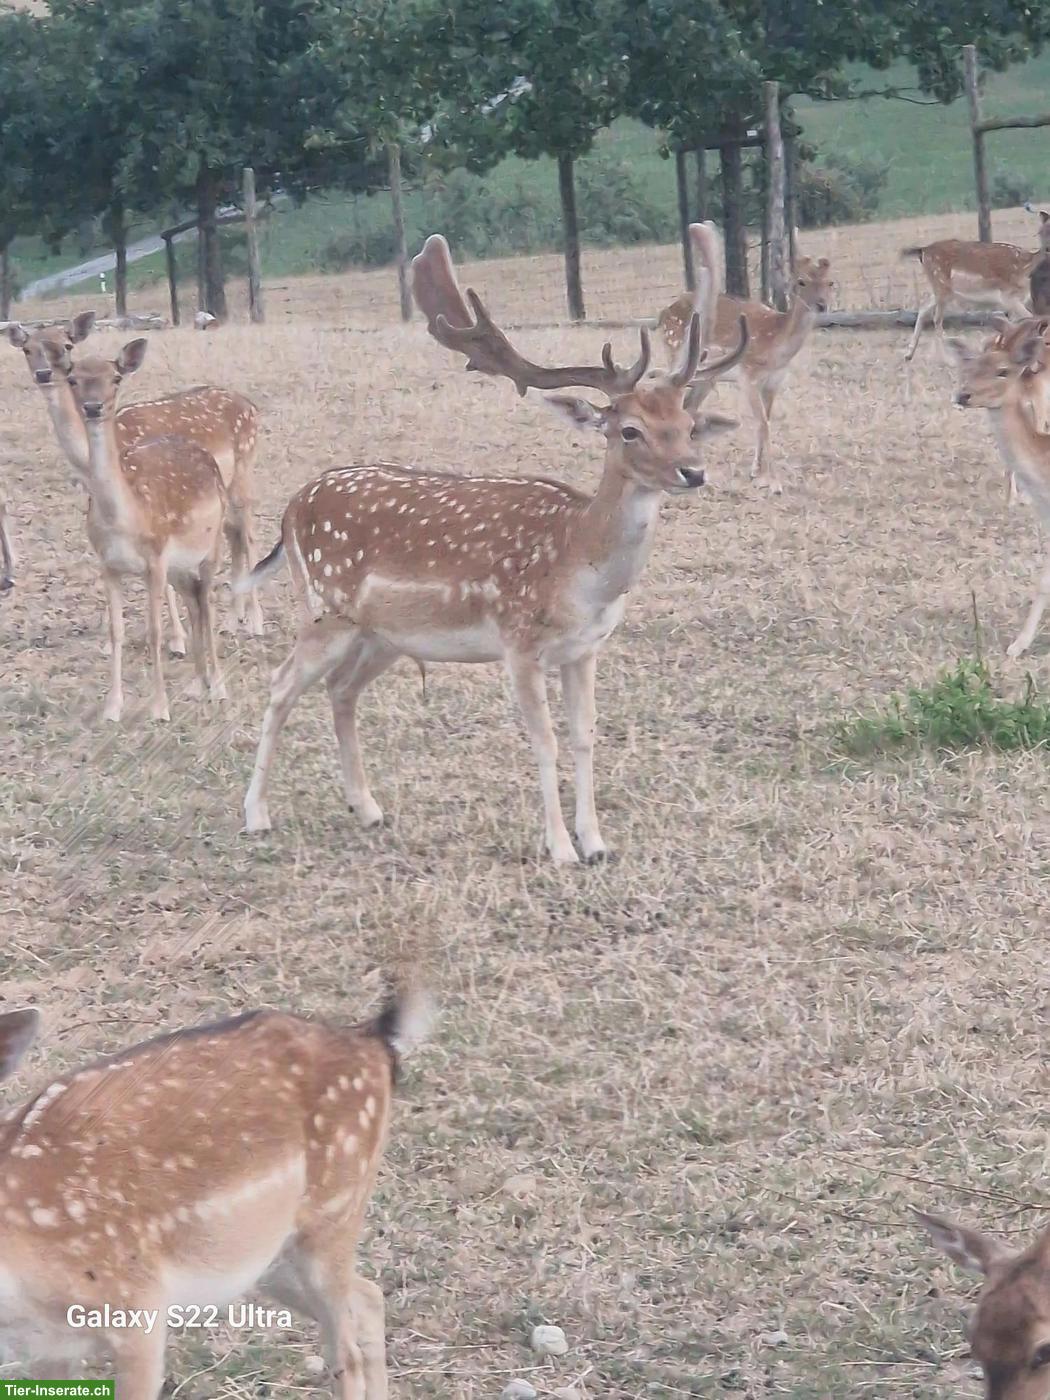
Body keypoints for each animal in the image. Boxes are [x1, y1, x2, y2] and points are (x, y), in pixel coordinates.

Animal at [0, 983, 431, 1398]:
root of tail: (373, 1041)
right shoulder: (43, 1348)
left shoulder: (137, 1305)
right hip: (266, 1255)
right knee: (368, 1296)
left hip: (335, 1211)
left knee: (347, 1354)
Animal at [7, 312, 265, 637]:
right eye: (27, 349)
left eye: (67, 345)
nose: (44, 374)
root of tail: (252, 407)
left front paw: (176, 638)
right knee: (234, 533)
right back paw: (234, 619)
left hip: (245, 465)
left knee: (249, 534)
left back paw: (256, 621)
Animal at [59, 337, 228, 721]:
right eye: (73, 379)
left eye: (116, 377)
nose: (93, 407)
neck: (123, 520)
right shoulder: (108, 565)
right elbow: (116, 631)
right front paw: (112, 708)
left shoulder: (155, 559)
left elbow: (153, 631)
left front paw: (160, 708)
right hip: (181, 566)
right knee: (194, 601)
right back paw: (197, 684)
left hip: (210, 546)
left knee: (209, 601)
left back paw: (218, 685)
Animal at [240, 232, 748, 864]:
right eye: (628, 429)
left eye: (687, 423)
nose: (693, 472)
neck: (577, 562)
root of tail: (290, 510)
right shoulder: (518, 641)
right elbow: (545, 739)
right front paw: (560, 848)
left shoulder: (585, 649)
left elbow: (584, 736)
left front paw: (596, 842)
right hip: (324, 609)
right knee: (281, 684)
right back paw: (256, 815)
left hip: (382, 633)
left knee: (340, 690)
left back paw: (368, 808)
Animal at [656, 222, 833, 494]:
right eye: (801, 281)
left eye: (831, 282)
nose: (822, 305)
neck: (776, 347)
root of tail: (663, 314)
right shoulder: (748, 375)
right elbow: (763, 424)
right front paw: (773, 482)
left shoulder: (774, 382)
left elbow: (767, 421)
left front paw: (755, 472)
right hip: (677, 350)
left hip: (704, 376)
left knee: (689, 406)